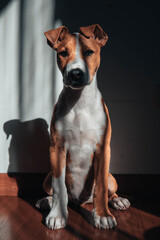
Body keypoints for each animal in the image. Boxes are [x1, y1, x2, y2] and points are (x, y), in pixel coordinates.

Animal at [36, 23, 130, 230]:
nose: (75, 73)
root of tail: (81, 202)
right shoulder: (57, 149)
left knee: (109, 191)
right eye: (63, 53)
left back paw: (118, 200)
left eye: (89, 52)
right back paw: (47, 201)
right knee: (53, 190)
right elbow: (59, 186)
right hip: (47, 176)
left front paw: (103, 216)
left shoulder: (103, 149)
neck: (79, 102)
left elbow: (101, 187)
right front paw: (57, 215)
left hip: (111, 178)